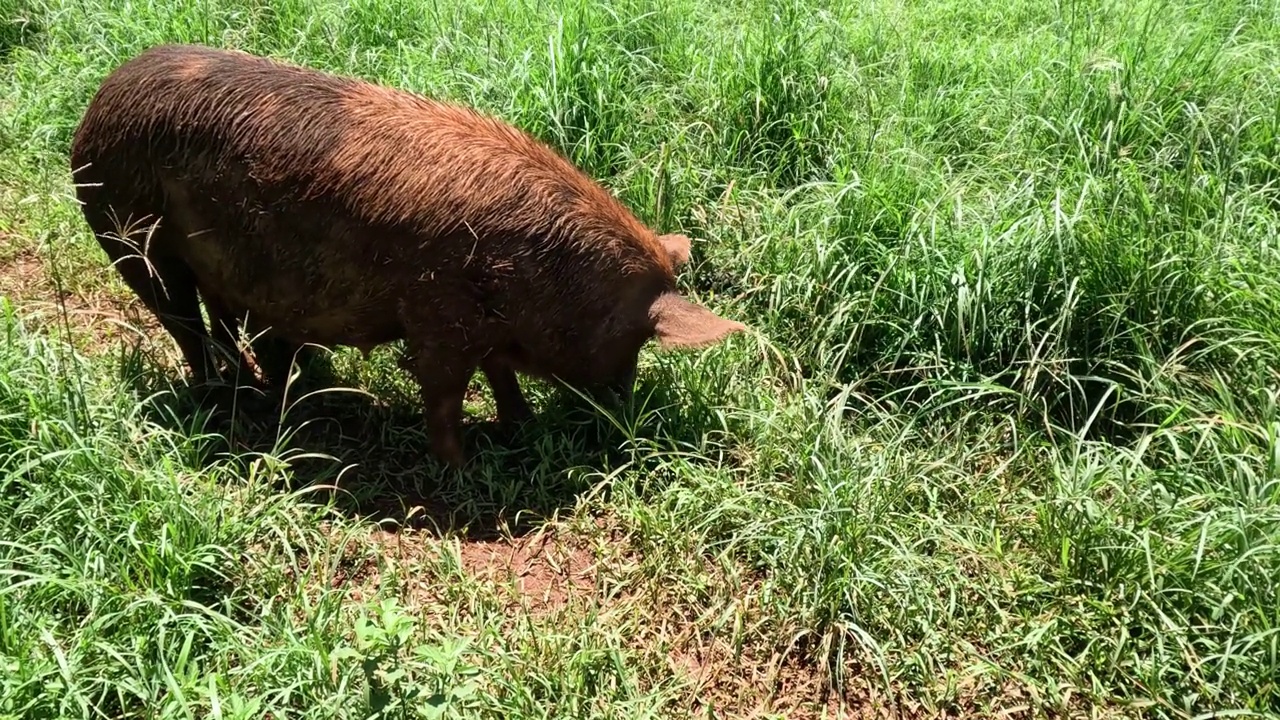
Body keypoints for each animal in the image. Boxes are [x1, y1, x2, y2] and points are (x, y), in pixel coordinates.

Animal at [67, 44, 747, 468]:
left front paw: (520, 426)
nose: (622, 416)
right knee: (182, 322)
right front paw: (462, 468)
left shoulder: (481, 322)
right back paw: (219, 403)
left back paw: (271, 388)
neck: (544, 278)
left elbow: (498, 375)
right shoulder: (437, 315)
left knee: (227, 319)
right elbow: (443, 393)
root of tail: (98, 99)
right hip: (128, 235)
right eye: (635, 342)